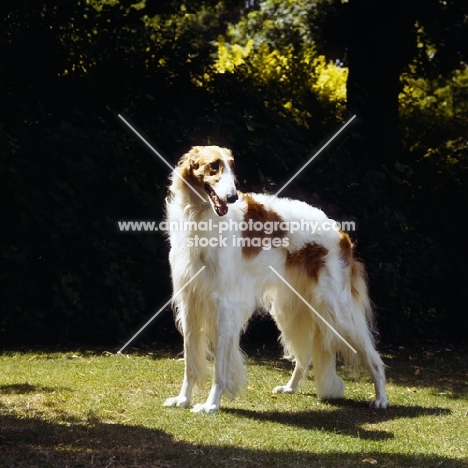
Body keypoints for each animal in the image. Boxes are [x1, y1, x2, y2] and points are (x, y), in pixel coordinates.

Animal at [165, 145, 388, 414]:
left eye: (232, 166)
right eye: (214, 166)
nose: (232, 197)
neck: (200, 218)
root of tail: (342, 235)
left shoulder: (225, 304)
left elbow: (220, 367)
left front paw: (211, 404)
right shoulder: (190, 301)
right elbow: (190, 363)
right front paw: (183, 399)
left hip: (337, 311)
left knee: (373, 356)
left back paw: (381, 398)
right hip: (291, 308)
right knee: (305, 356)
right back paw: (290, 387)